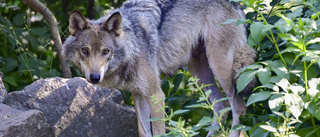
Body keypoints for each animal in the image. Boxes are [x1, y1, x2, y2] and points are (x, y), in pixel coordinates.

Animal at [62, 0, 256, 136]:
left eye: (105, 51)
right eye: (85, 51)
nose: (95, 77)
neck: (132, 45)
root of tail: (235, 4)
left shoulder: (156, 96)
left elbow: (158, 133)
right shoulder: (138, 94)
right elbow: (143, 132)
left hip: (221, 69)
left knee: (238, 107)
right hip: (199, 72)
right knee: (221, 105)